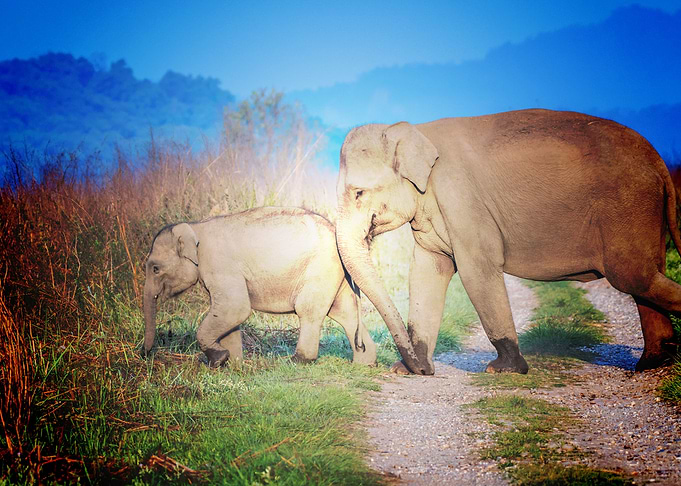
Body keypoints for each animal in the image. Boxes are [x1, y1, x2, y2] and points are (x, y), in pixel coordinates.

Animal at [143, 207, 377, 367]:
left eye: (155, 268)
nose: (145, 354)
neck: (194, 226)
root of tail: (336, 232)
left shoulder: (220, 266)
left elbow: (235, 308)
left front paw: (218, 360)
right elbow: (230, 316)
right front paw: (232, 364)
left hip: (320, 270)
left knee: (309, 311)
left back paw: (297, 361)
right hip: (336, 276)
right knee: (344, 313)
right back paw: (364, 364)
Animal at [335, 108, 681, 376]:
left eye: (359, 192)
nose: (421, 369)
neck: (416, 131)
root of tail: (659, 161)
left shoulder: (462, 201)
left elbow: (477, 271)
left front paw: (504, 370)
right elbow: (427, 271)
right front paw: (406, 372)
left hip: (628, 205)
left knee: (632, 277)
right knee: (644, 278)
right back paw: (652, 364)